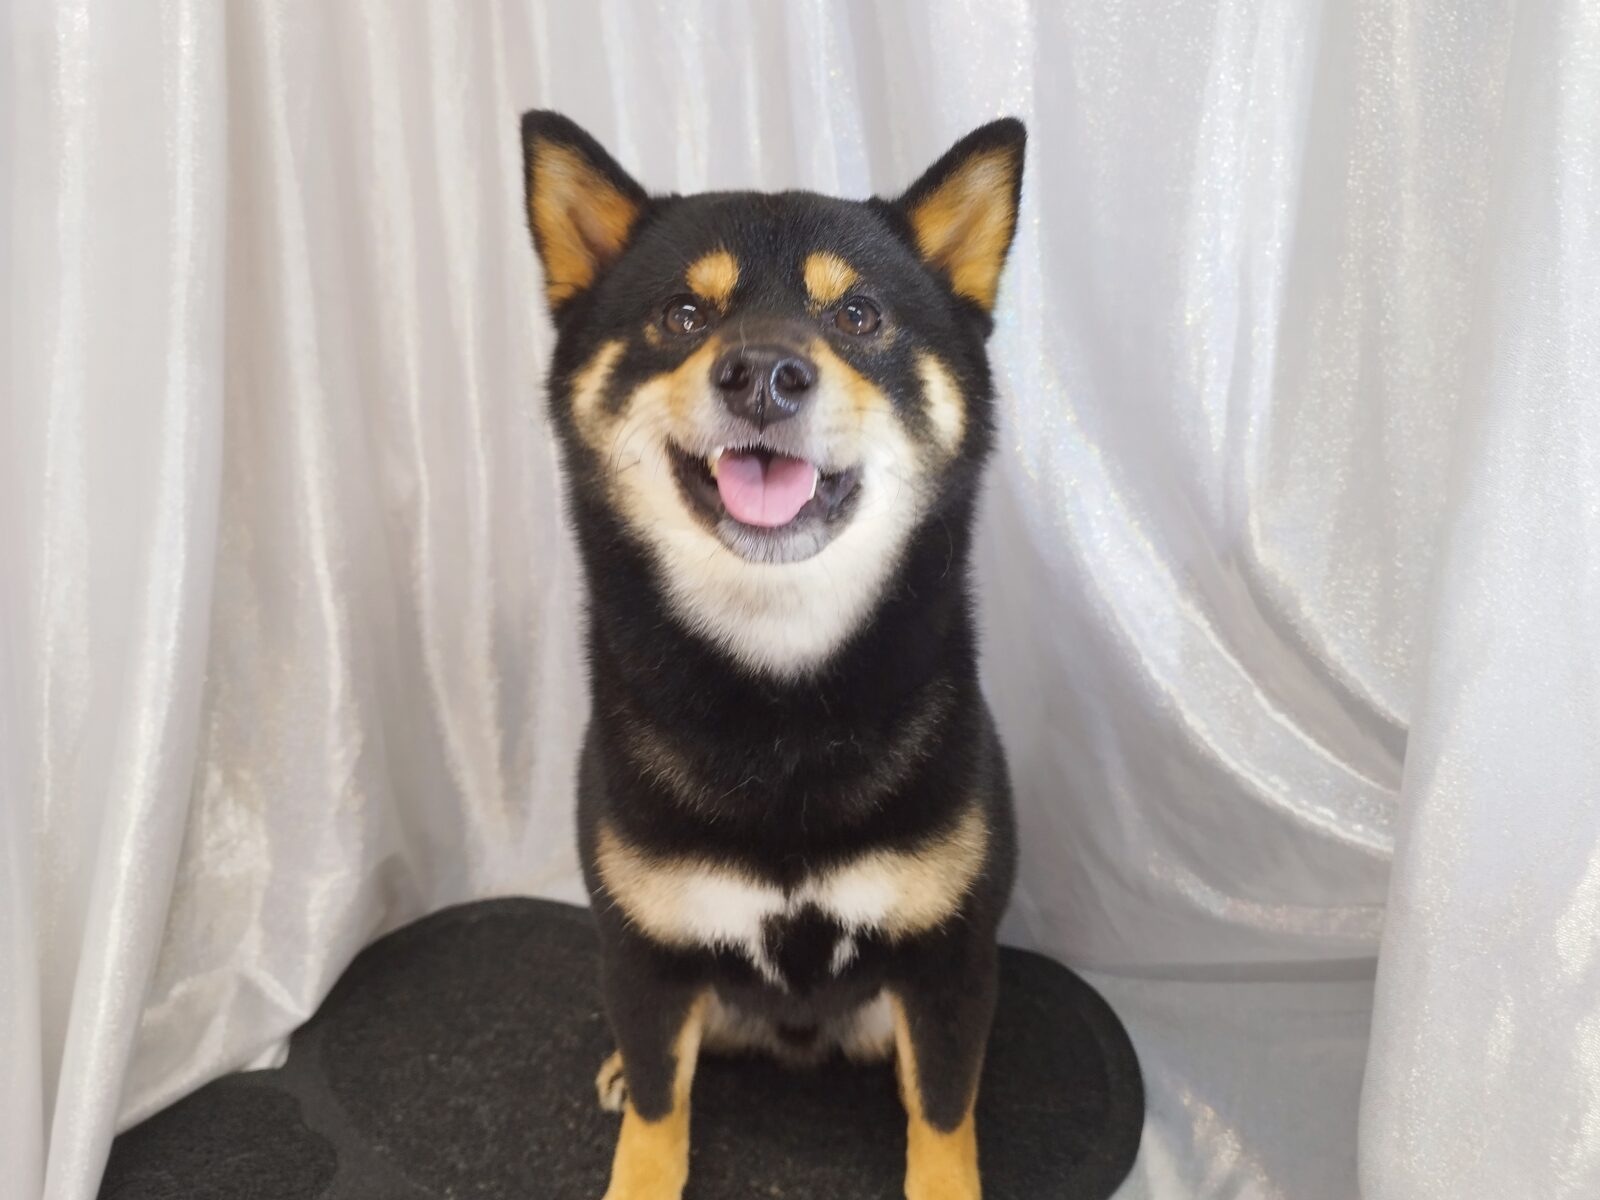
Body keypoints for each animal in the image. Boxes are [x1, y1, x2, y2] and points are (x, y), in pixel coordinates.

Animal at [520, 109, 1025, 1200]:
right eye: (681, 315)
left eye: (861, 316)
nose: (761, 373)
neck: (781, 704)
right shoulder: (645, 952)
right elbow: (659, 1118)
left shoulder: (948, 960)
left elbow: (943, 1118)